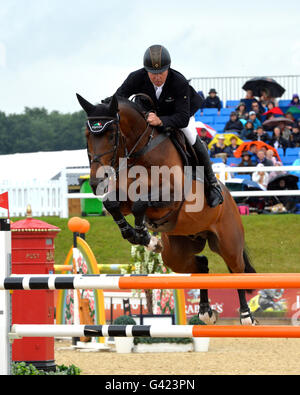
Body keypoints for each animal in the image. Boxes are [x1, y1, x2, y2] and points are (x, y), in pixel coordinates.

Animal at [76, 93, 256, 324]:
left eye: (111, 134)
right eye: (88, 135)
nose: (96, 181)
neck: (141, 153)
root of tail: (232, 202)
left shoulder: (172, 198)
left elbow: (141, 204)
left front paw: (144, 235)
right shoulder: (123, 199)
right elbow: (113, 204)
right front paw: (143, 238)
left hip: (228, 243)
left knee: (236, 271)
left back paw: (246, 316)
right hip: (178, 253)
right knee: (201, 264)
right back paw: (205, 311)